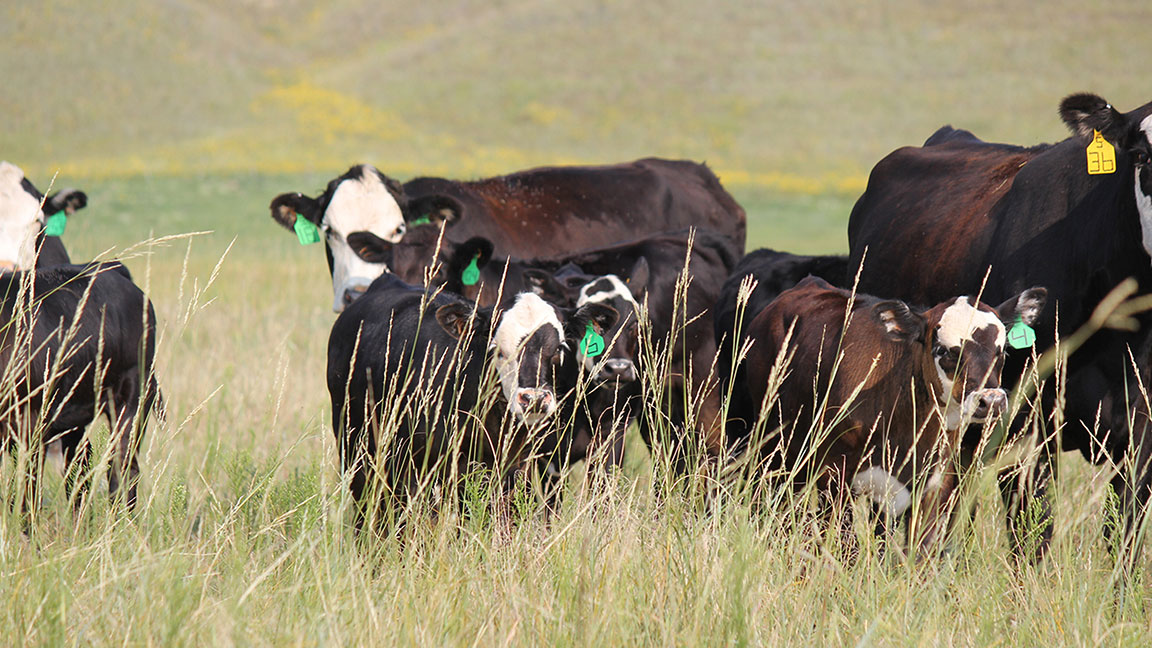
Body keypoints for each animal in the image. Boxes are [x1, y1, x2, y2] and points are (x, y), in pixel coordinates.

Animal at [0, 262, 162, 521]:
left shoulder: (30, 423)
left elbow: (27, 498)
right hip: (72, 414)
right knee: (79, 468)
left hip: (133, 396)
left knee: (122, 470)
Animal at [741, 277, 1046, 555]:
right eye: (943, 350)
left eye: (1002, 351)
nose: (990, 400)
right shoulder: (835, 476)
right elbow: (844, 546)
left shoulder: (935, 484)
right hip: (771, 451)